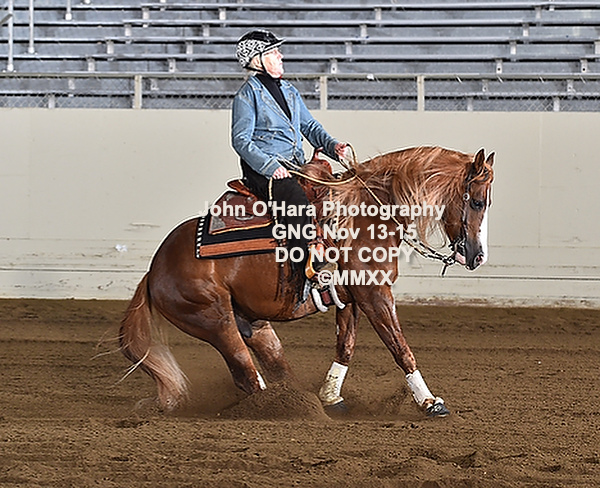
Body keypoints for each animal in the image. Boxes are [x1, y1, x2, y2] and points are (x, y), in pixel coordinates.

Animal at [119, 145, 494, 418]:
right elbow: (400, 348)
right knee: (246, 372)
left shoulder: (351, 298)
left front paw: (331, 397)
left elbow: (346, 346)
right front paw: (430, 402)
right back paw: (284, 409)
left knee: (272, 364)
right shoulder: (375, 294)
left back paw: (301, 401)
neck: (367, 215)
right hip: (214, 320)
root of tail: (155, 270)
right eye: (477, 201)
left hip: (252, 322)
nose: (477, 256)